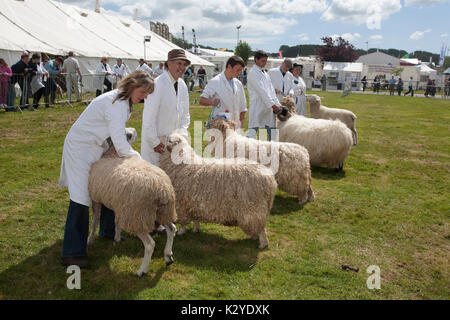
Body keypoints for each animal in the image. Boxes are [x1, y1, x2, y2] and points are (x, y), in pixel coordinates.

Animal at [87, 129, 178, 276]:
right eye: (128, 135)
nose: (135, 131)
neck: (112, 154)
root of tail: (162, 189)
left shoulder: (96, 199)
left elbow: (95, 221)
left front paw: (89, 240)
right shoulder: (120, 205)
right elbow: (116, 222)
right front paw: (117, 238)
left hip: (137, 216)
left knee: (150, 244)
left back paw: (142, 270)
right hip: (163, 211)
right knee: (171, 229)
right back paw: (168, 256)